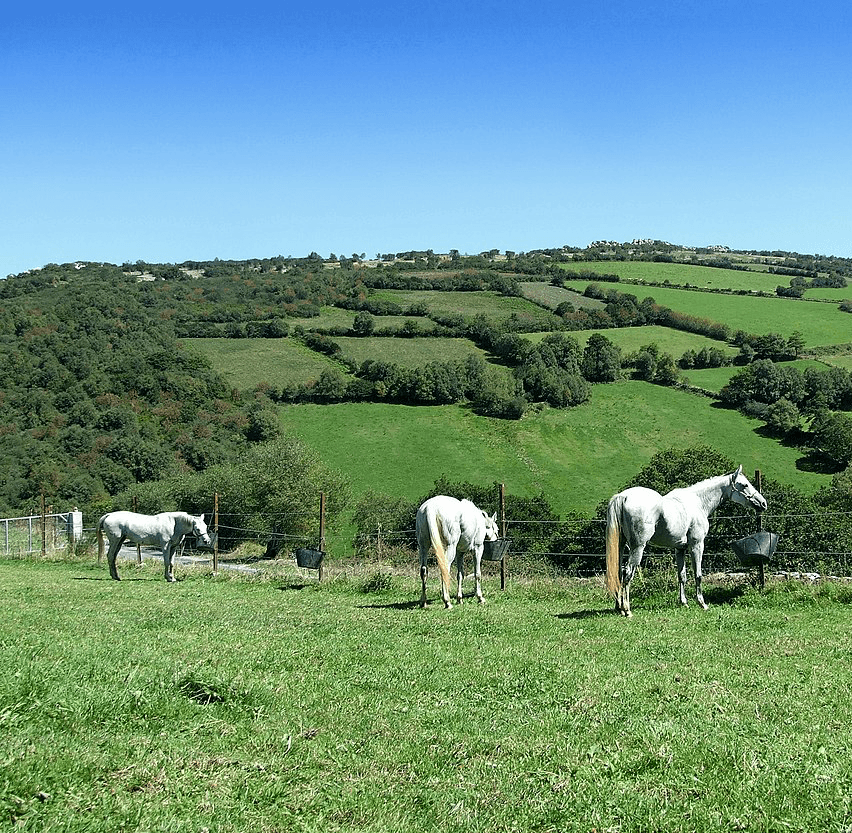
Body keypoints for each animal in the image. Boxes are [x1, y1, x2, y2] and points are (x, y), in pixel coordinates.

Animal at [604, 464, 768, 616]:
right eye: (744, 484)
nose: (763, 503)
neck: (698, 502)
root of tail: (623, 497)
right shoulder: (697, 545)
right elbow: (698, 574)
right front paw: (702, 603)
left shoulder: (680, 549)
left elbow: (682, 576)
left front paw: (684, 602)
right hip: (638, 547)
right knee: (627, 573)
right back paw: (627, 610)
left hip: (621, 546)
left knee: (618, 572)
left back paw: (619, 607)